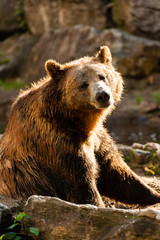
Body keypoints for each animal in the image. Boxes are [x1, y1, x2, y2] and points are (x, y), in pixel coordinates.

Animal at [0, 46, 160, 207]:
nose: (103, 95)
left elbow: (118, 173)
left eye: (102, 76)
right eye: (83, 84)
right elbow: (82, 187)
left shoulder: (97, 139)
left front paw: (154, 195)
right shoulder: (58, 146)